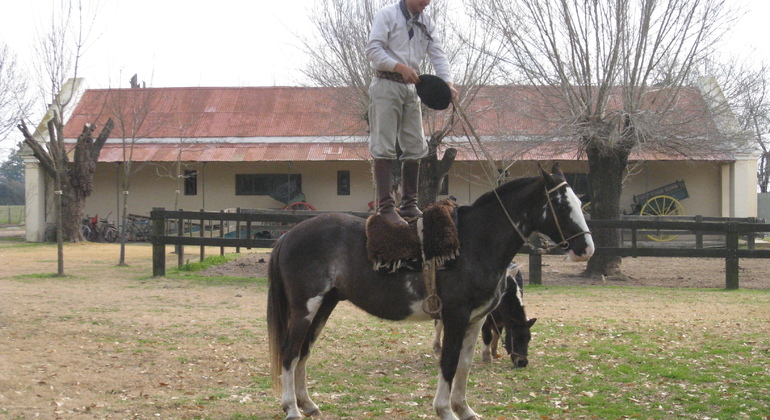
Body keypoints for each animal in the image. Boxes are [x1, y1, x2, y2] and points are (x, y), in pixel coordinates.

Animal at [266, 162, 592, 418]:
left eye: (579, 202)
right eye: (562, 205)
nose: (586, 248)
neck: (475, 243)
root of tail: (288, 235)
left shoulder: (475, 320)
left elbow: (464, 364)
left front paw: (464, 409)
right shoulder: (455, 317)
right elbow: (448, 362)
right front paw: (445, 410)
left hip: (324, 306)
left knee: (303, 352)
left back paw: (307, 404)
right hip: (305, 309)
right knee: (290, 352)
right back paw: (291, 408)